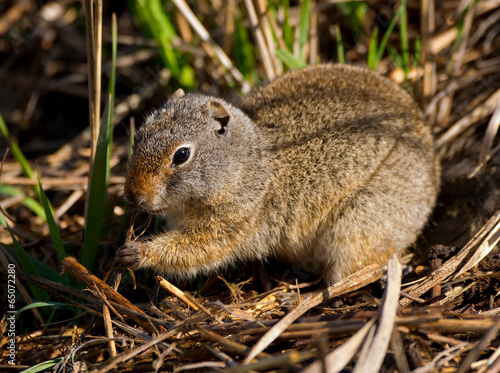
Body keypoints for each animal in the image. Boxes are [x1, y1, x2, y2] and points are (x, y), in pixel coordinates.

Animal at [115, 64, 440, 284]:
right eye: (139, 135)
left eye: (181, 155)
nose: (132, 194)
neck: (250, 164)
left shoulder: (231, 222)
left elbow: (197, 249)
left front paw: (138, 252)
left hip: (357, 227)